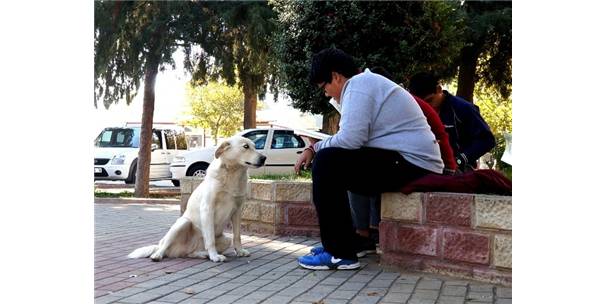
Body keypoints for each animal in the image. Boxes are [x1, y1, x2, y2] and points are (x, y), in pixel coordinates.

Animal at [129, 137, 268, 262]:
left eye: (254, 146)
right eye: (246, 147)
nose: (264, 158)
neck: (233, 173)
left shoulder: (238, 211)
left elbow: (237, 236)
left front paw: (239, 251)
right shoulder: (207, 209)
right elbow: (210, 238)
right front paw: (215, 256)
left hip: (225, 240)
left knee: (192, 253)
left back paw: (203, 254)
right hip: (183, 223)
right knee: (163, 246)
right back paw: (158, 255)